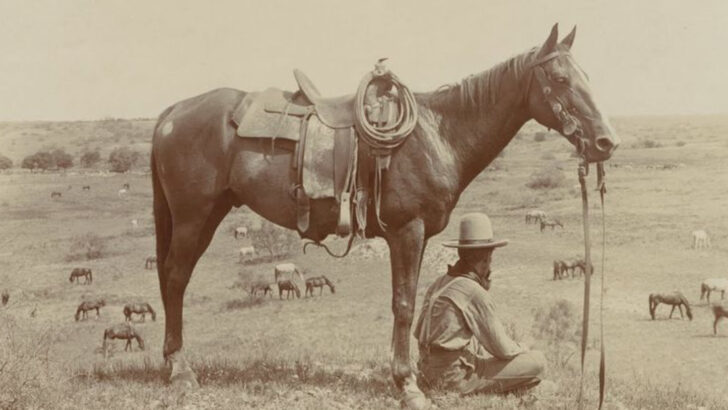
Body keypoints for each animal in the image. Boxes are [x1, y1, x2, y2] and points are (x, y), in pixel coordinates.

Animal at [150, 25, 619, 405]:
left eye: (587, 77)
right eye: (560, 79)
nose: (605, 142)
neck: (438, 133)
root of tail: (172, 113)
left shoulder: (420, 234)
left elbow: (412, 301)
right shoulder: (406, 231)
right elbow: (404, 304)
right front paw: (407, 385)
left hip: (209, 214)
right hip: (193, 217)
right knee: (175, 278)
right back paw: (180, 370)